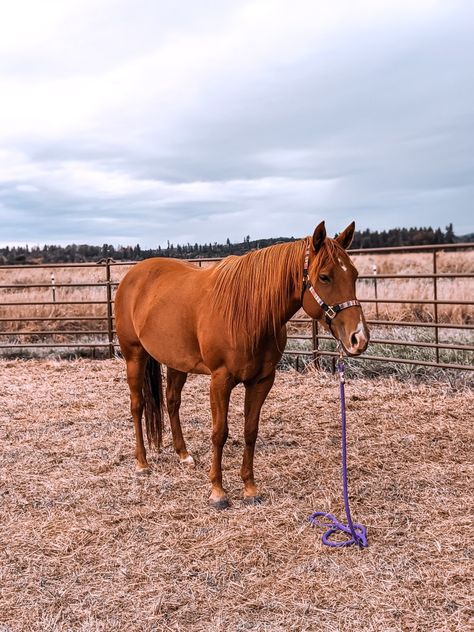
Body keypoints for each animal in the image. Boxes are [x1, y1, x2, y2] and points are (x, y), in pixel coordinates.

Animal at [115, 222, 370, 508]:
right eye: (325, 277)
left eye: (355, 275)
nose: (359, 338)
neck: (249, 313)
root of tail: (132, 274)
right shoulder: (220, 380)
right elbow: (220, 432)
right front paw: (217, 491)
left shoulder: (262, 381)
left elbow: (250, 430)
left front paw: (250, 488)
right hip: (134, 356)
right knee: (137, 405)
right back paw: (142, 463)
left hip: (176, 361)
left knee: (172, 401)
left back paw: (183, 454)